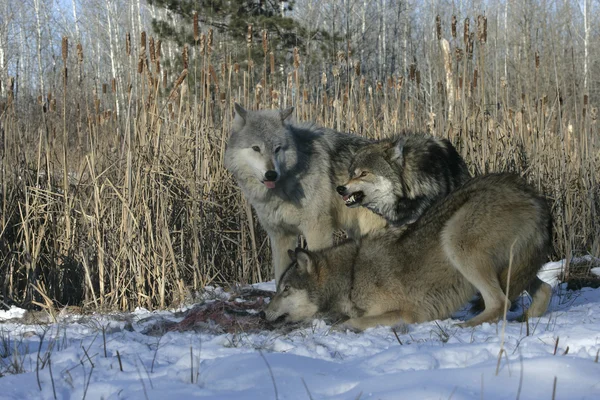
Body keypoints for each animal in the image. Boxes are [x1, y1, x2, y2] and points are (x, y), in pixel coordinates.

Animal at [264, 173, 556, 330]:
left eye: (285, 290)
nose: (263, 314)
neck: (350, 276)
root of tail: (532, 194)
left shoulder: (405, 313)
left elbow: (348, 323)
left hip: (455, 240)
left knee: (500, 302)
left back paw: (463, 327)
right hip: (514, 267)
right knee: (545, 289)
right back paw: (526, 320)